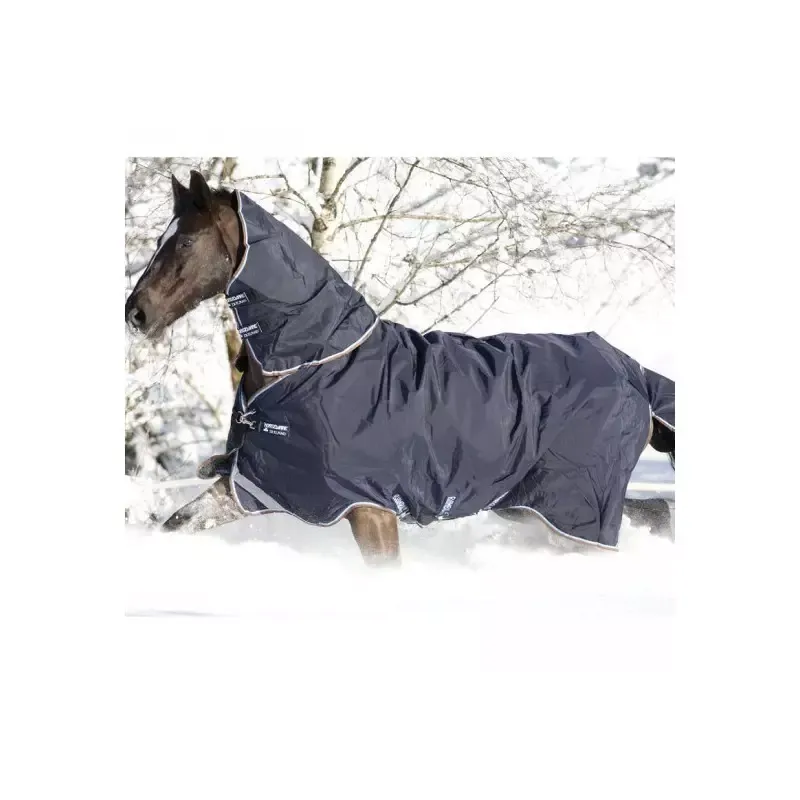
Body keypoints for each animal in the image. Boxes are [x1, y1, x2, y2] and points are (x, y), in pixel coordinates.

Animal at [125, 170, 675, 566]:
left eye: (186, 242)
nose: (136, 312)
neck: (310, 365)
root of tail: (632, 371)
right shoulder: (253, 486)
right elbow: (178, 523)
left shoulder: (371, 511)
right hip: (535, 507)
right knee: (657, 511)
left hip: (570, 508)